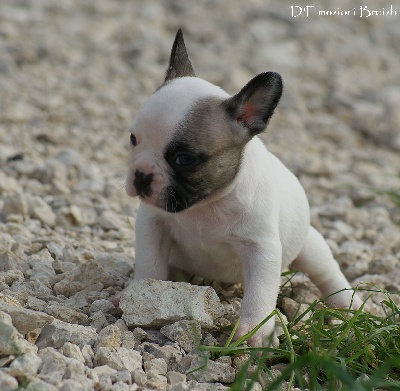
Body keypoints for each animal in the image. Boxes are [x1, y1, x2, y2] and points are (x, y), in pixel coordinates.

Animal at [126, 30, 362, 348]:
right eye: (133, 139)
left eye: (184, 159)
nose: (140, 175)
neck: (206, 205)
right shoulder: (153, 224)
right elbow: (150, 263)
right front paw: (143, 292)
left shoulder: (261, 250)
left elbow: (260, 294)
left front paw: (255, 331)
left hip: (310, 246)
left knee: (327, 273)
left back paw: (347, 303)